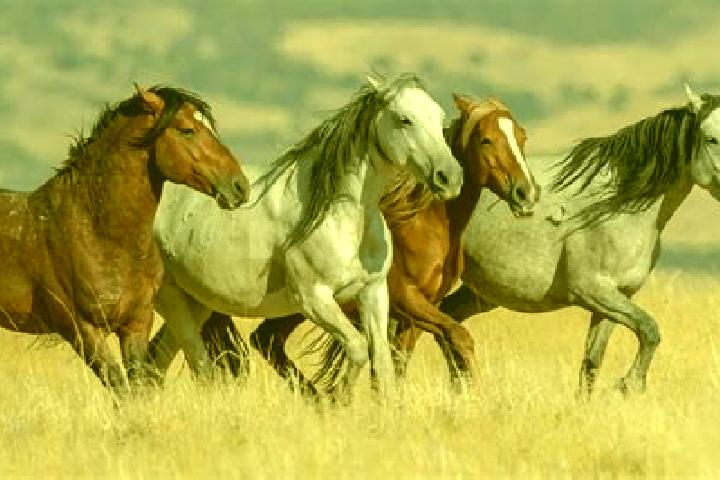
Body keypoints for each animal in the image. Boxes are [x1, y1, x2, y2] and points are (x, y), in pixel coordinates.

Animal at [0, 85, 249, 395]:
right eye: (187, 130)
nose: (240, 186)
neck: (99, 235)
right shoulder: (83, 330)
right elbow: (121, 388)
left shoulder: (136, 323)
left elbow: (138, 386)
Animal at [147, 72, 463, 400]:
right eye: (405, 119)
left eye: (439, 117)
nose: (450, 178)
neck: (342, 217)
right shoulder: (315, 299)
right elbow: (358, 347)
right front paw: (337, 400)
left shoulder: (373, 293)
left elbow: (383, 365)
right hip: (172, 300)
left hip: (197, 303)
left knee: (158, 358)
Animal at [240, 94, 539, 394]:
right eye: (486, 139)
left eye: (522, 136)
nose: (525, 193)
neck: (424, 226)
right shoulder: (407, 299)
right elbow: (458, 335)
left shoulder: (420, 309)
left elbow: (399, 361)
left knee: (266, 340)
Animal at [424, 83, 720, 396]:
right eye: (711, 138)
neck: (616, 206)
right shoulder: (592, 291)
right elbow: (650, 329)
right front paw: (630, 384)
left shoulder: (616, 298)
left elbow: (592, 363)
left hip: (482, 293)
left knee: (449, 319)